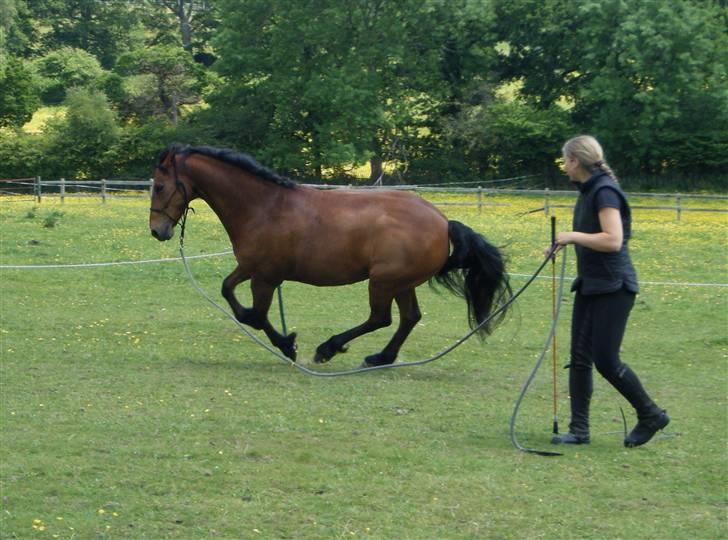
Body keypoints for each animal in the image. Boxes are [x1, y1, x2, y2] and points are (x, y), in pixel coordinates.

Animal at [149, 144, 512, 368]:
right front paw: (283, 339)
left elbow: (256, 314)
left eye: (160, 186)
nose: (157, 230)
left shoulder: (266, 277)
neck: (264, 207)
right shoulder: (251, 267)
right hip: (400, 282)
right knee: (409, 318)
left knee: (381, 318)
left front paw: (288, 344)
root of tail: (442, 221)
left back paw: (330, 348)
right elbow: (229, 291)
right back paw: (379, 358)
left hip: (383, 281)